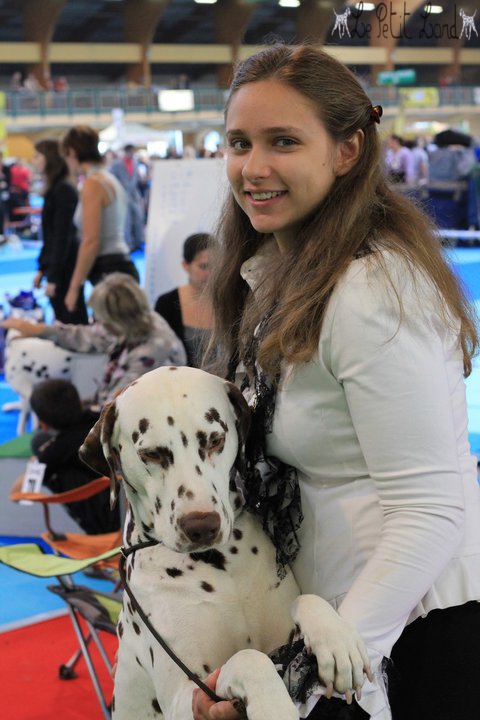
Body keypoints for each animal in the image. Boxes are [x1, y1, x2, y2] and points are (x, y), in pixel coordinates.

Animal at [80, 366, 370, 720]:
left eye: (215, 440)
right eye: (151, 454)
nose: (202, 525)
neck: (221, 566)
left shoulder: (284, 640)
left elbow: (307, 599)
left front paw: (337, 639)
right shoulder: (187, 697)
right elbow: (246, 658)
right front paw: (273, 706)